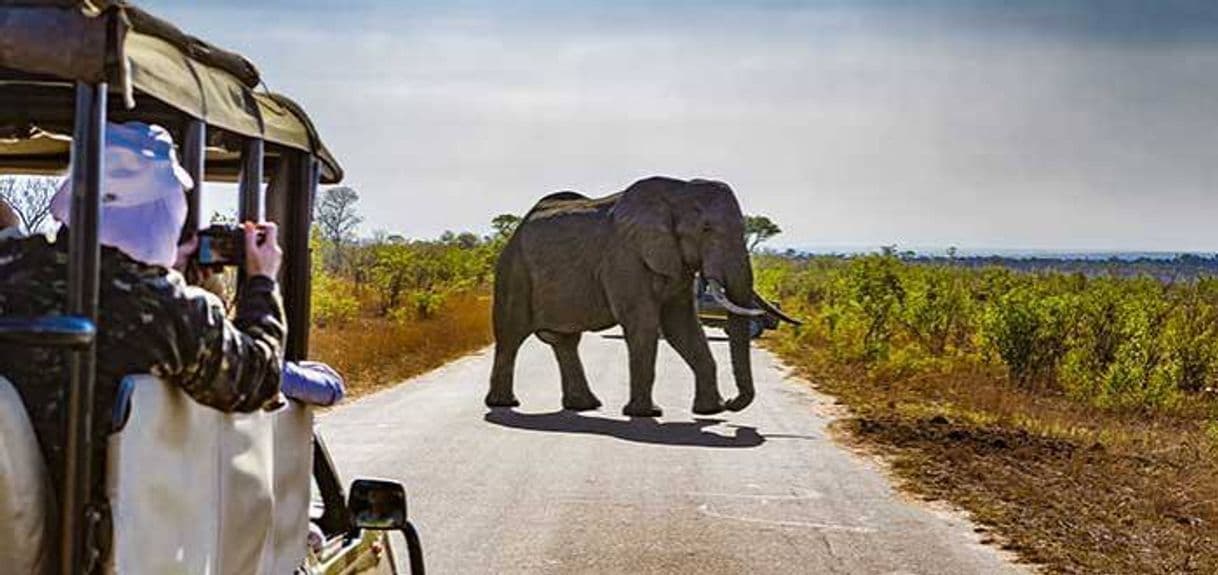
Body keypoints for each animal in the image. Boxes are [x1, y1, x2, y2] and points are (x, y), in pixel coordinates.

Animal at [484, 175, 799, 416]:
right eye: (707, 230)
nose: (734, 403)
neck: (679, 191)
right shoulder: (625, 257)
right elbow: (644, 323)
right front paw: (647, 414)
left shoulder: (677, 263)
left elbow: (682, 325)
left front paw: (710, 411)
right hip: (514, 271)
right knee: (511, 336)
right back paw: (504, 404)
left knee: (565, 342)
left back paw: (584, 406)